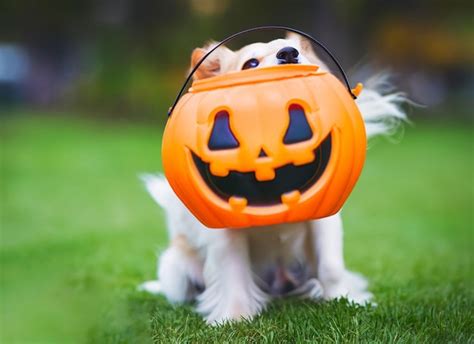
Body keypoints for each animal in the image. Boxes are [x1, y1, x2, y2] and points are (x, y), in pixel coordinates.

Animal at [139, 33, 406, 326]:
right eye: (251, 64)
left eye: (297, 52)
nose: (289, 53)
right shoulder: (225, 230)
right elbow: (233, 274)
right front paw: (234, 318)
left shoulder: (326, 217)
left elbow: (331, 266)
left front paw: (344, 301)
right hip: (175, 268)